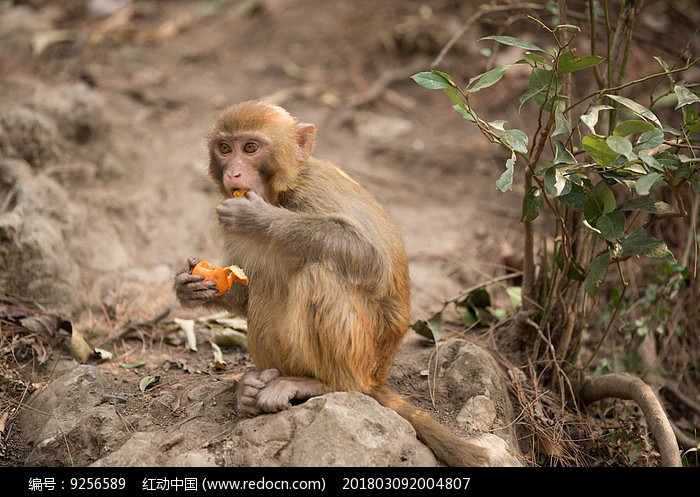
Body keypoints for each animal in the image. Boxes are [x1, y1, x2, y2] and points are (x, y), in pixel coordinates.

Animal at [175, 100, 486, 464]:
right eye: (225, 149)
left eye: (250, 148)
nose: (233, 174)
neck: (280, 192)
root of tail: (376, 375)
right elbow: (244, 286)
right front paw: (189, 287)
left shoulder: (313, 190)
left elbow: (369, 255)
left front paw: (260, 219)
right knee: (268, 282)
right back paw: (252, 388)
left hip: (366, 354)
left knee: (319, 273)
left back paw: (324, 386)